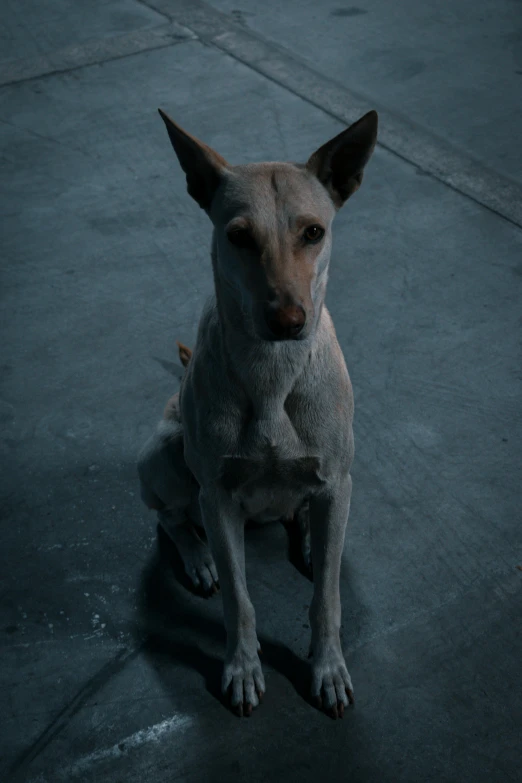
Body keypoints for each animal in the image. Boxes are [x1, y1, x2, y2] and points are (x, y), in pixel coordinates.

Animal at [136, 107, 376, 720]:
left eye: (313, 232)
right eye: (238, 236)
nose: (289, 320)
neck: (273, 374)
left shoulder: (337, 478)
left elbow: (326, 598)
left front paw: (327, 667)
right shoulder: (218, 497)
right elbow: (240, 602)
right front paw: (243, 667)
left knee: (315, 523)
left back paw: (313, 540)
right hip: (164, 457)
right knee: (170, 517)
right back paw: (197, 557)